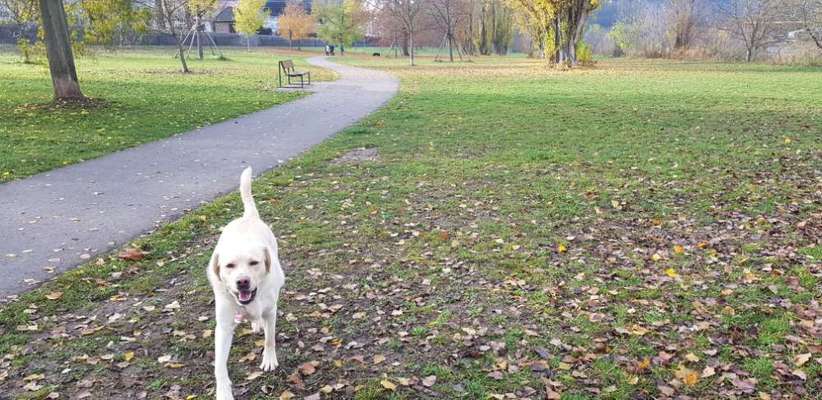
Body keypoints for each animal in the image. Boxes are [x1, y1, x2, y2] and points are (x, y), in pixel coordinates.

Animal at [206, 167, 286, 398]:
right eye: (229, 266)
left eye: (253, 263)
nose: (242, 281)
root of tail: (247, 217)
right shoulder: (223, 327)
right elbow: (219, 366)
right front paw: (223, 392)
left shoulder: (270, 311)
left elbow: (270, 339)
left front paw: (269, 359)